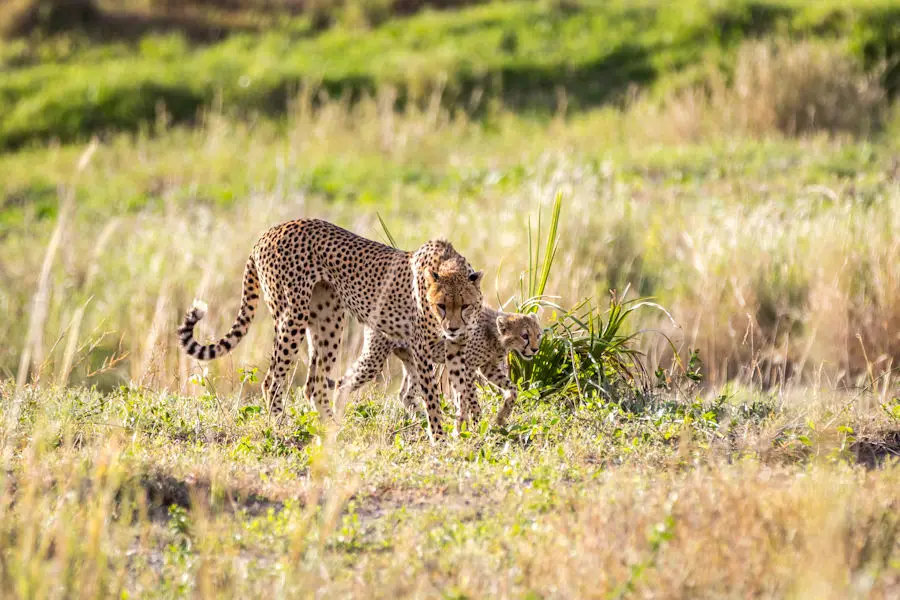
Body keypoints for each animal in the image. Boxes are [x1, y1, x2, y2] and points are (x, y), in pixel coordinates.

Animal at [178, 218, 486, 438]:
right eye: (441, 306)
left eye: (465, 305)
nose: (453, 328)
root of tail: (269, 232)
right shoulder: (422, 349)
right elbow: (433, 397)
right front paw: (441, 438)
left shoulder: (456, 350)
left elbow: (467, 390)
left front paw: (475, 430)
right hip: (292, 316)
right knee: (273, 381)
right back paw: (283, 425)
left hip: (329, 318)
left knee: (314, 385)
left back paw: (331, 428)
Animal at [342, 304, 540, 426]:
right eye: (524, 336)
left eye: (538, 335)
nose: (535, 349)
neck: (494, 333)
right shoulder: (468, 367)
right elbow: (472, 399)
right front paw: (478, 422)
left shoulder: (488, 367)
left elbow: (513, 389)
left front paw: (501, 416)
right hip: (374, 359)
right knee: (343, 383)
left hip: (414, 360)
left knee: (405, 394)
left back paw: (424, 420)